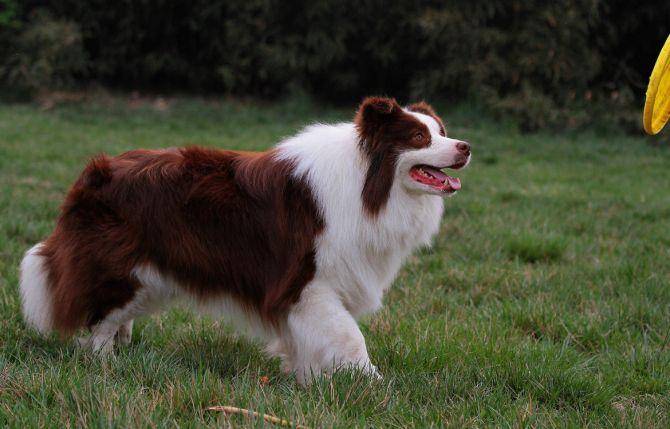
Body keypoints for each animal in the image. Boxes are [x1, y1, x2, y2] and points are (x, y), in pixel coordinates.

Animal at [18, 96, 470, 382]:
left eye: (443, 131)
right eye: (419, 138)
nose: (465, 147)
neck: (369, 185)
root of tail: (95, 171)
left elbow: (314, 339)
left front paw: (308, 379)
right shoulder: (309, 281)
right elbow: (348, 336)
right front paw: (374, 384)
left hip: (152, 273)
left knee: (116, 314)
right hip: (122, 265)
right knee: (99, 317)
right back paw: (104, 364)